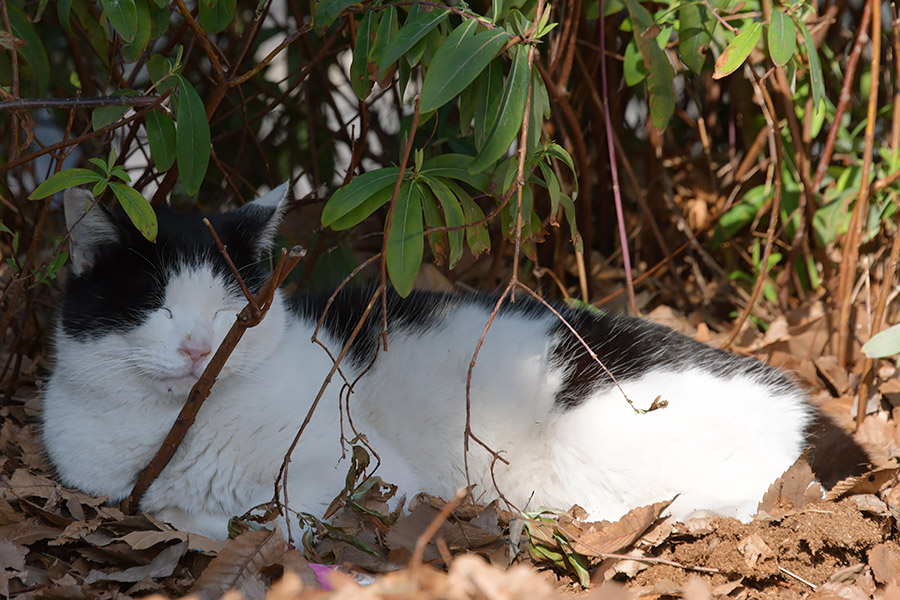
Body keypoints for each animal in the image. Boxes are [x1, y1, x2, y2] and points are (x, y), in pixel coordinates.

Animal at [44, 183, 872, 540]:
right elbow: (173, 510)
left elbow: (262, 521)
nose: (196, 346)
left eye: (229, 310)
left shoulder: (363, 476)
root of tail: (810, 409)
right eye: (157, 304)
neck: (175, 432)